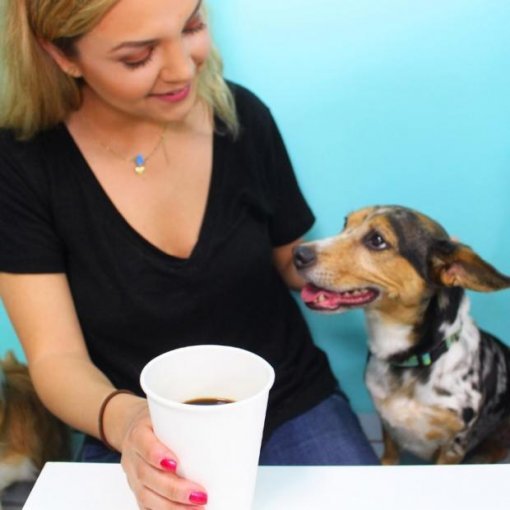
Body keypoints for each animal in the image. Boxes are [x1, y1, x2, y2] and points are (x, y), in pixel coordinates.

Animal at [293, 205, 510, 465]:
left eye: (377, 240)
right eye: (345, 223)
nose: (297, 253)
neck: (412, 360)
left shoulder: (453, 447)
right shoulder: (388, 427)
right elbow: (388, 457)